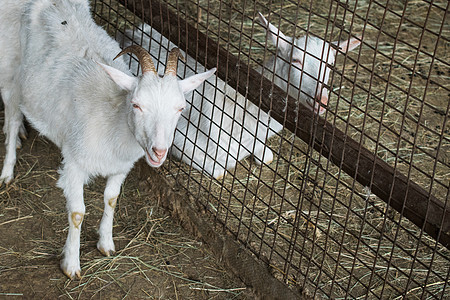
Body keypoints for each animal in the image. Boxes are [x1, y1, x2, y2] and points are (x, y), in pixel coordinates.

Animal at [0, 0, 214, 278]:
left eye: (180, 108)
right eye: (137, 104)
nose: (158, 151)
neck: (113, 120)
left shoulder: (121, 167)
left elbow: (111, 199)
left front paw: (106, 243)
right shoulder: (74, 163)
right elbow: (77, 213)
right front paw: (71, 265)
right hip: (11, 71)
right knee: (12, 115)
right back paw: (8, 169)